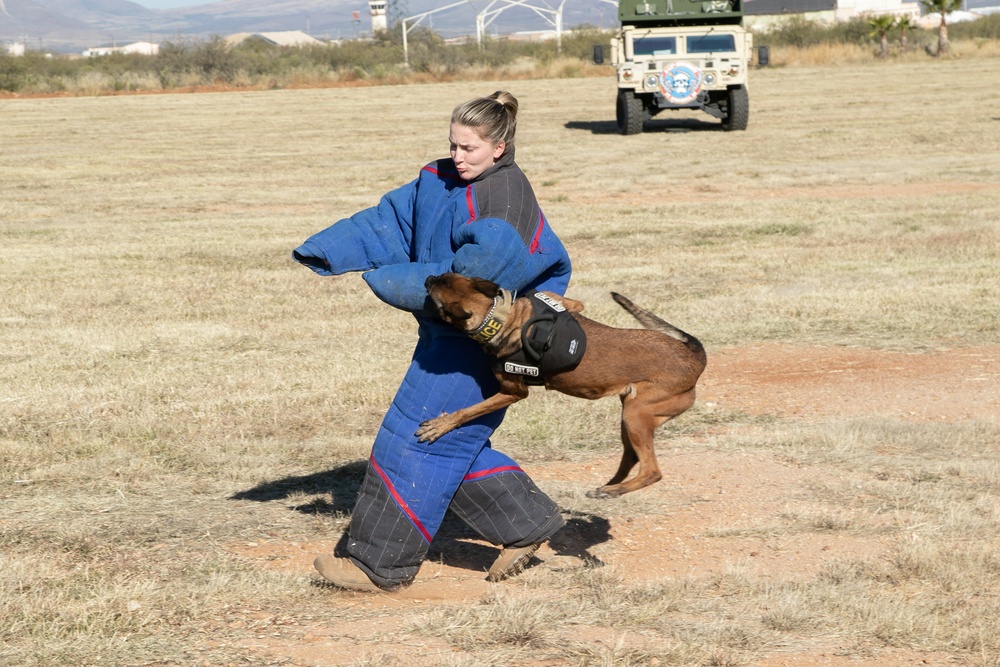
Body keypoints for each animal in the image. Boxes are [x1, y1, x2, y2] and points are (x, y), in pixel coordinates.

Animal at [418, 274, 708, 498]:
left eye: (436, 300)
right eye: (447, 274)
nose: (428, 277)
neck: (503, 316)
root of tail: (695, 357)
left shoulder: (514, 392)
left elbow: (469, 411)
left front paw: (441, 425)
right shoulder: (569, 303)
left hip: (636, 413)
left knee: (651, 471)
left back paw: (612, 490)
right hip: (631, 414)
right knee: (632, 457)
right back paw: (609, 485)